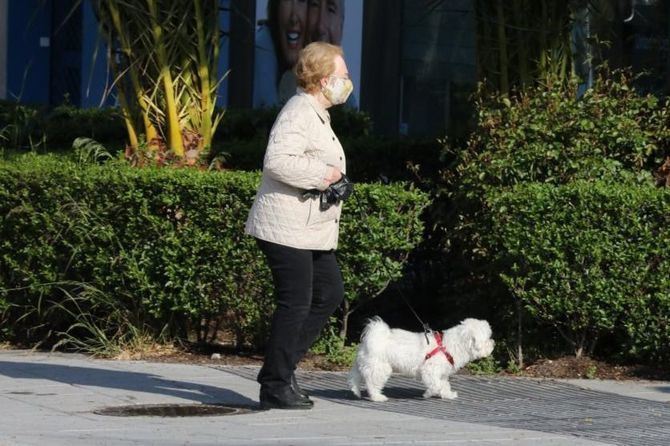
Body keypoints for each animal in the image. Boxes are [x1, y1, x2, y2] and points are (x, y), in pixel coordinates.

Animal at [350, 316, 496, 402]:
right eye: (487, 338)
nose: (493, 343)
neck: (449, 346)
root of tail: (374, 336)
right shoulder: (430, 371)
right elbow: (436, 385)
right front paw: (428, 393)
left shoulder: (441, 373)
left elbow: (444, 384)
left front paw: (448, 394)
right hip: (379, 367)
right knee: (372, 383)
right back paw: (377, 397)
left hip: (363, 363)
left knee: (354, 376)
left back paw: (355, 390)